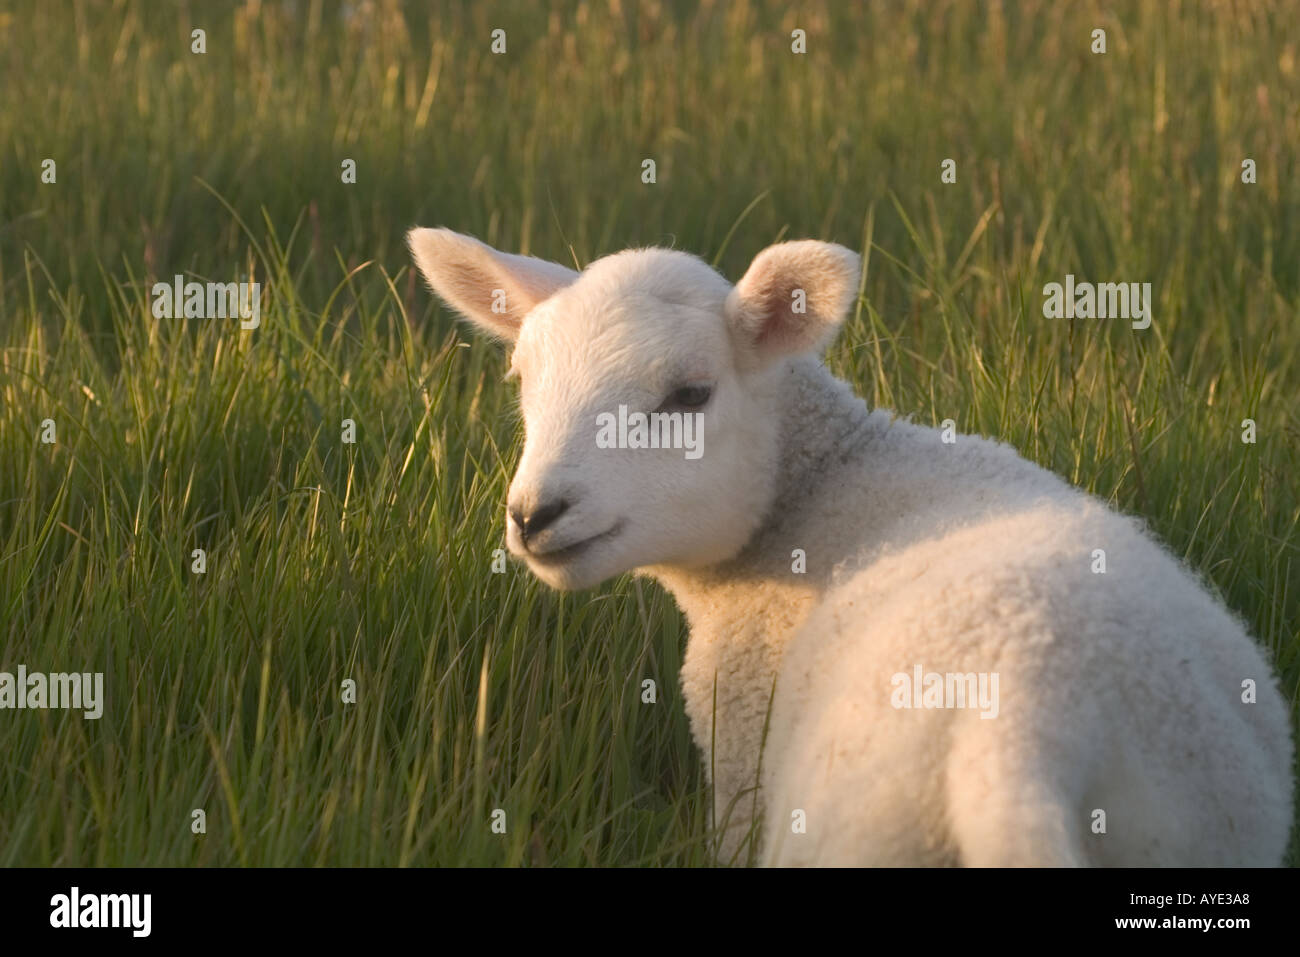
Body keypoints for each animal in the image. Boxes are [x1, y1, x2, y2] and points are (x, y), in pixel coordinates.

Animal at [403, 226, 1289, 868]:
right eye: (521, 381)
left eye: (689, 394)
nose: (534, 514)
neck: (818, 486)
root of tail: (1029, 739)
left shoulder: (740, 751)